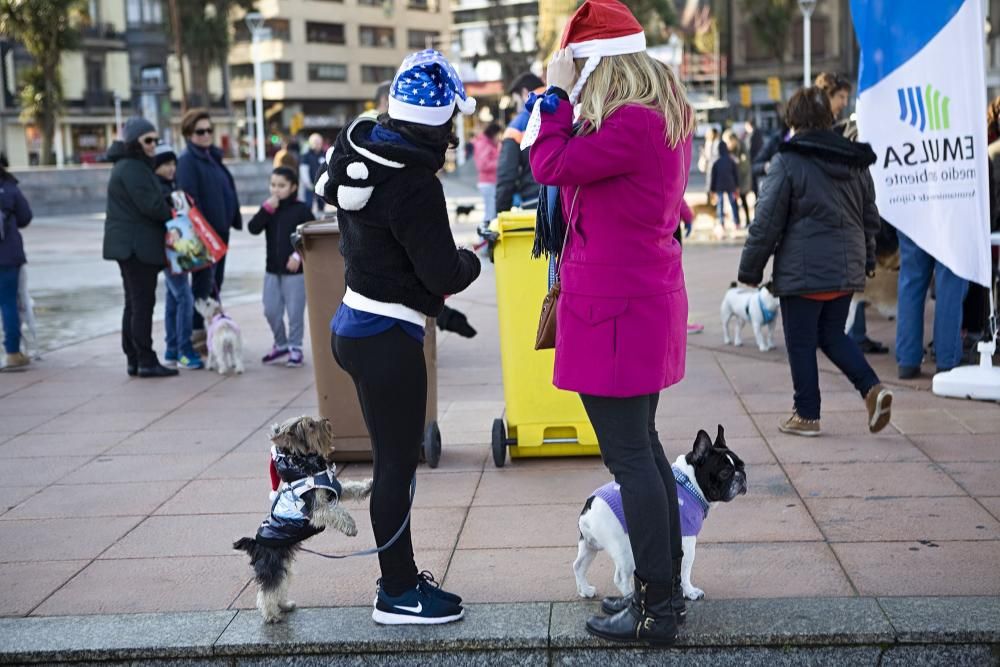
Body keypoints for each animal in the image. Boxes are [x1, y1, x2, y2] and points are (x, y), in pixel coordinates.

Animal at [233, 414, 372, 624]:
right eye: (311, 425)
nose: (326, 419)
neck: (303, 464)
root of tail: (255, 544)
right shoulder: (316, 508)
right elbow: (336, 511)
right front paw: (350, 526)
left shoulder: (333, 491)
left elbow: (350, 487)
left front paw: (368, 486)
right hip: (273, 565)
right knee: (267, 591)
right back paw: (272, 615)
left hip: (283, 564)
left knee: (280, 586)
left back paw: (284, 605)